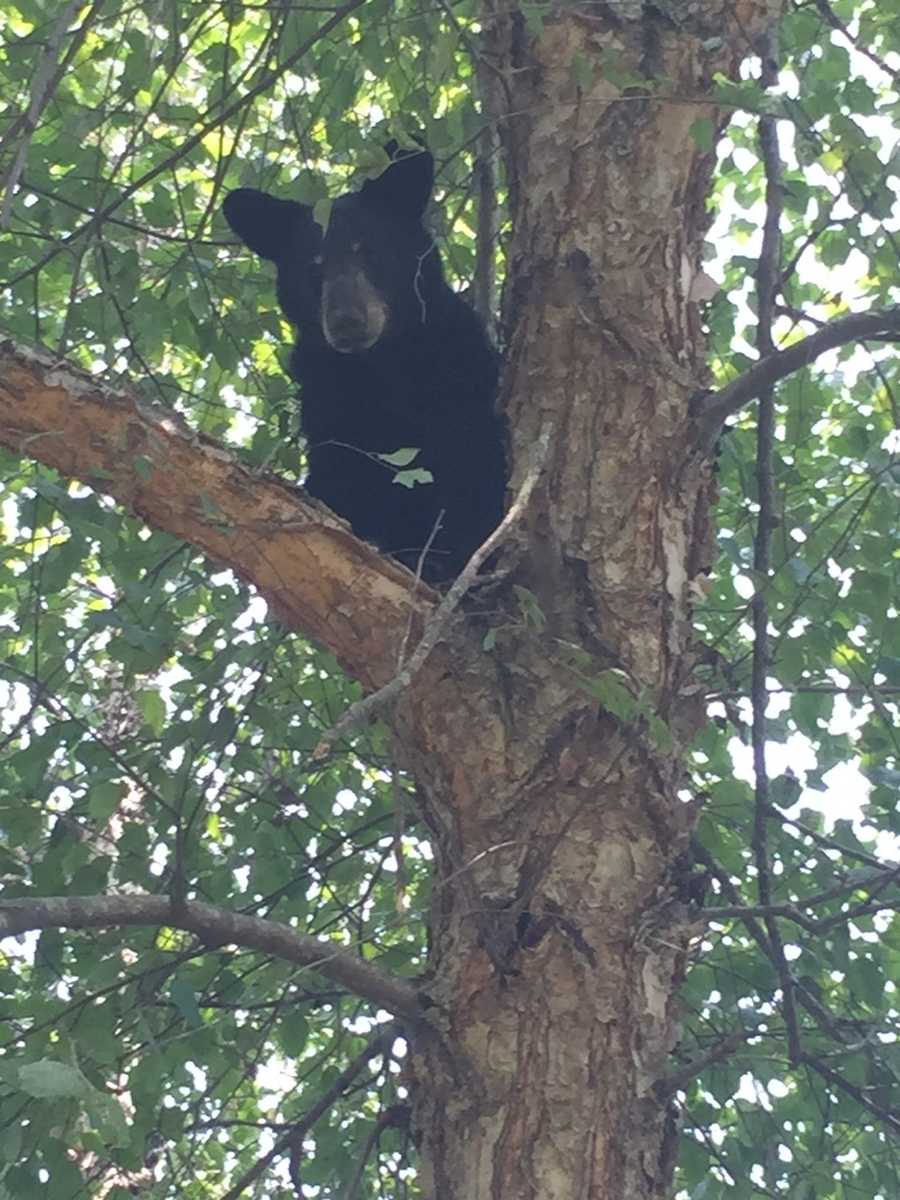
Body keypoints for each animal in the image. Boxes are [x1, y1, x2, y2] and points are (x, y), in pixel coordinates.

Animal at [224, 142, 508, 583]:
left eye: (368, 250)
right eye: (314, 266)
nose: (346, 321)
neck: (379, 366)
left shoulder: (459, 378)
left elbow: (472, 471)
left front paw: (443, 558)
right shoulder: (329, 404)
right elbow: (339, 478)